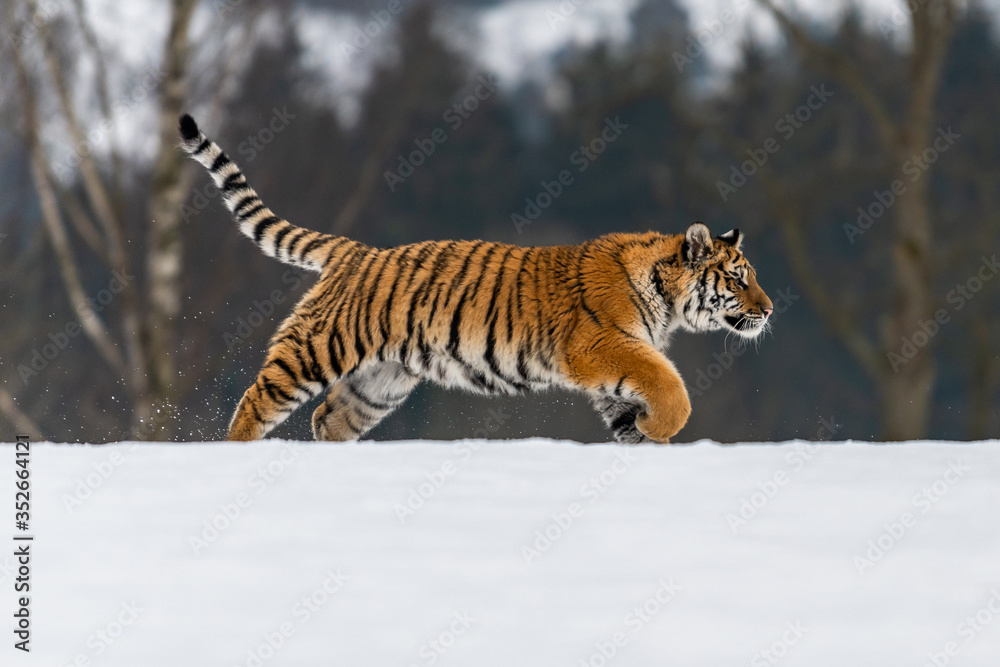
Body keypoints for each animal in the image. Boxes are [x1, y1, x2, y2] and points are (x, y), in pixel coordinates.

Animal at [178, 113, 773, 444]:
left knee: (328, 419)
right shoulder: (603, 345)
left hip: (379, 382)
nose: (768, 310)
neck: (665, 297)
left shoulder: (613, 369)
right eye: (739, 279)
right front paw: (660, 429)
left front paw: (646, 442)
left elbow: (634, 409)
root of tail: (355, 250)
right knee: (254, 402)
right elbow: (672, 387)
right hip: (314, 350)